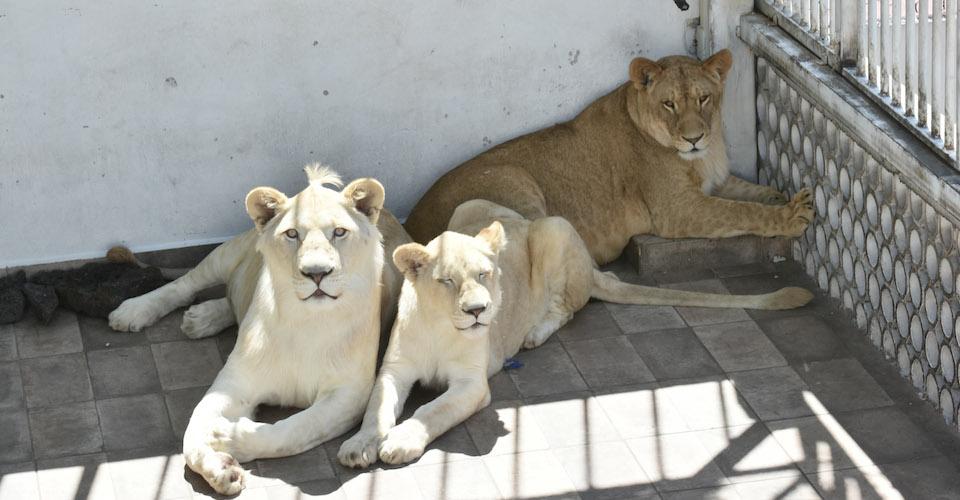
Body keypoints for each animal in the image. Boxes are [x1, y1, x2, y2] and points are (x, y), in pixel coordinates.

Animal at [108, 165, 409, 495]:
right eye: (292, 234)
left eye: (340, 232)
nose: (316, 273)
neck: (307, 320)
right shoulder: (235, 382)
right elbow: (191, 434)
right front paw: (220, 469)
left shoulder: (350, 394)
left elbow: (294, 430)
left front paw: (225, 438)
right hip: (226, 253)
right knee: (185, 285)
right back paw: (137, 311)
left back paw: (202, 318)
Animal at [337, 199, 812, 468]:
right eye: (446, 281)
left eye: (485, 274)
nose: (478, 311)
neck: (441, 326)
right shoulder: (394, 371)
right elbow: (377, 408)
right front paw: (360, 446)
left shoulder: (472, 385)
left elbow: (431, 411)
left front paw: (400, 443)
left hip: (556, 229)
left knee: (571, 306)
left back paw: (535, 332)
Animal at [404, 49, 814, 265]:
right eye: (669, 104)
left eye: (703, 98)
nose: (694, 138)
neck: (704, 155)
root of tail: (413, 225)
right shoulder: (679, 210)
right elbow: (740, 211)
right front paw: (791, 215)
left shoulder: (717, 181)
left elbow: (749, 191)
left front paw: (779, 196)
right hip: (515, 181)